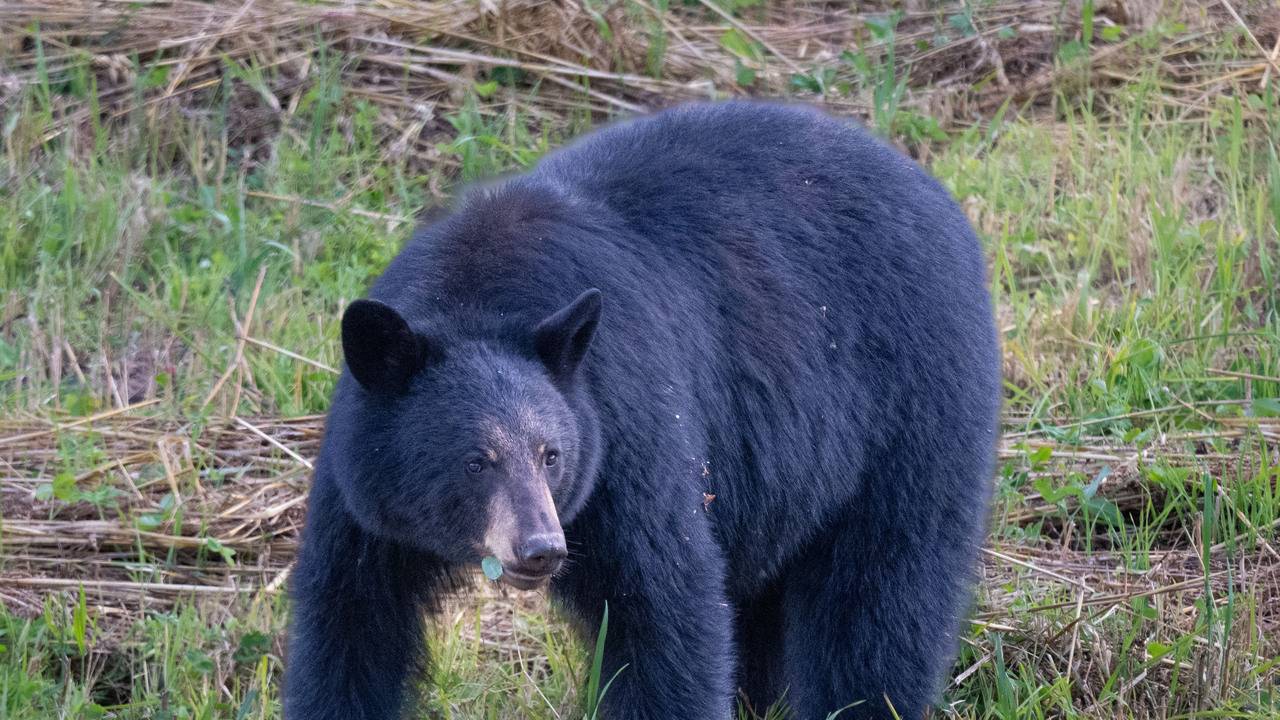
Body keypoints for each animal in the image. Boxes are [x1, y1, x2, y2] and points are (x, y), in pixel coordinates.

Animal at [283, 101, 1001, 720]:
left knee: (881, 595)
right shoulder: (363, 490)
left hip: (910, 406)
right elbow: (350, 622)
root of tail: (938, 194)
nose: (541, 548)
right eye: (474, 460)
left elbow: (662, 604)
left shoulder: (626, 434)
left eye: (552, 454)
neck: (475, 298)